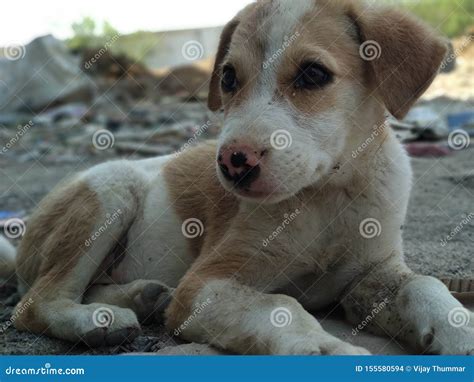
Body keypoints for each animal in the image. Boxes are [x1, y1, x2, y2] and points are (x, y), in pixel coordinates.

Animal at [4, 0, 474, 356]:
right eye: (228, 78)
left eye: (313, 74)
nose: (233, 162)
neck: (327, 192)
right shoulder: (204, 284)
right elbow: (279, 307)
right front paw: (325, 351)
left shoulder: (373, 274)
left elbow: (425, 285)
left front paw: (461, 331)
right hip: (109, 190)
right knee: (34, 303)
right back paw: (95, 320)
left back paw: (142, 297)